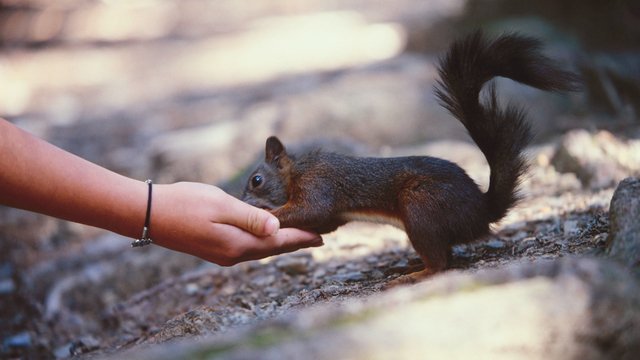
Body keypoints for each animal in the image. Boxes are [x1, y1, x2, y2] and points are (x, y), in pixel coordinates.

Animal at [240, 31, 580, 278]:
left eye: (256, 180)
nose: (243, 202)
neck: (297, 171)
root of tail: (482, 211)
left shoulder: (318, 184)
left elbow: (310, 209)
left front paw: (271, 215)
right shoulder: (331, 215)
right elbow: (321, 222)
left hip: (421, 207)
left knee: (441, 263)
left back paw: (414, 275)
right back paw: (412, 265)